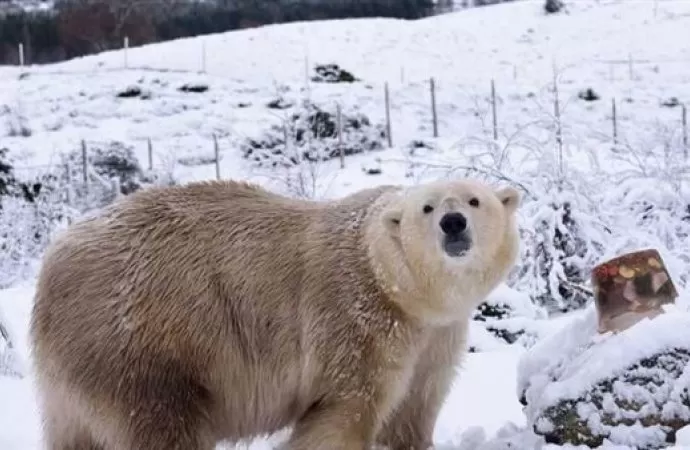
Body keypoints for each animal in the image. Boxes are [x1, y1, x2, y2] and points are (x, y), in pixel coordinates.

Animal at [29, 178, 520, 448]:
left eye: (474, 200)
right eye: (427, 206)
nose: (453, 224)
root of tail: (51, 268)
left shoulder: (437, 334)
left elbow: (414, 407)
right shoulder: (356, 319)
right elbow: (344, 412)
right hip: (143, 347)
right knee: (164, 427)